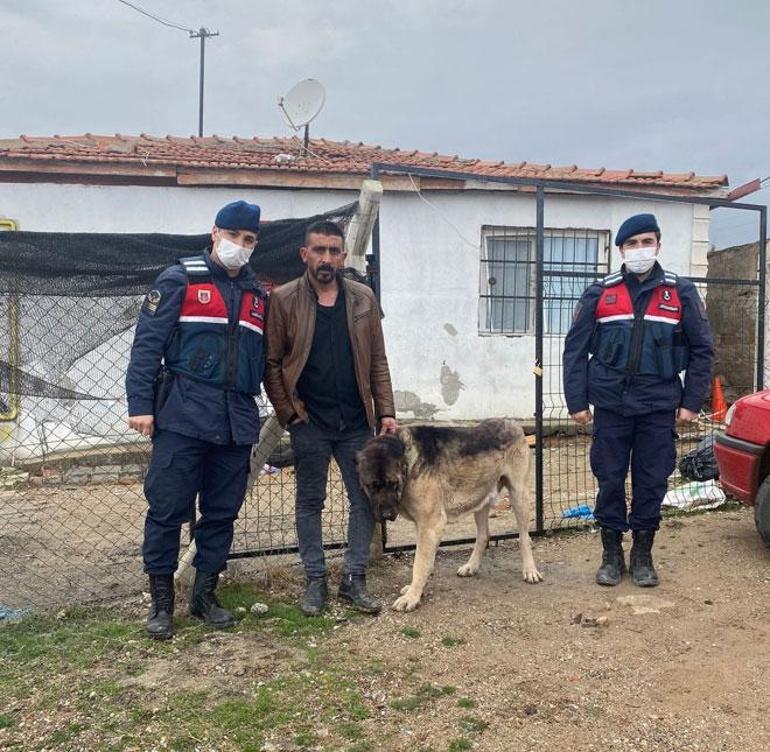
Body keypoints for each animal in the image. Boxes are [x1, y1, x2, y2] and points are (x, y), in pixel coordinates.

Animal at [358, 418, 544, 612]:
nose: (386, 514)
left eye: (393, 484)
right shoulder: (423, 526)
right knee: (483, 535)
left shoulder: (431, 524)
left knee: (524, 537)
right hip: (480, 499)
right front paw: (417, 589)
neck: (408, 461)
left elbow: (419, 562)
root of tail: (511, 422)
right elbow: (425, 560)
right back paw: (471, 566)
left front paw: (412, 597)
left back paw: (530, 570)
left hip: (519, 496)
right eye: (372, 486)